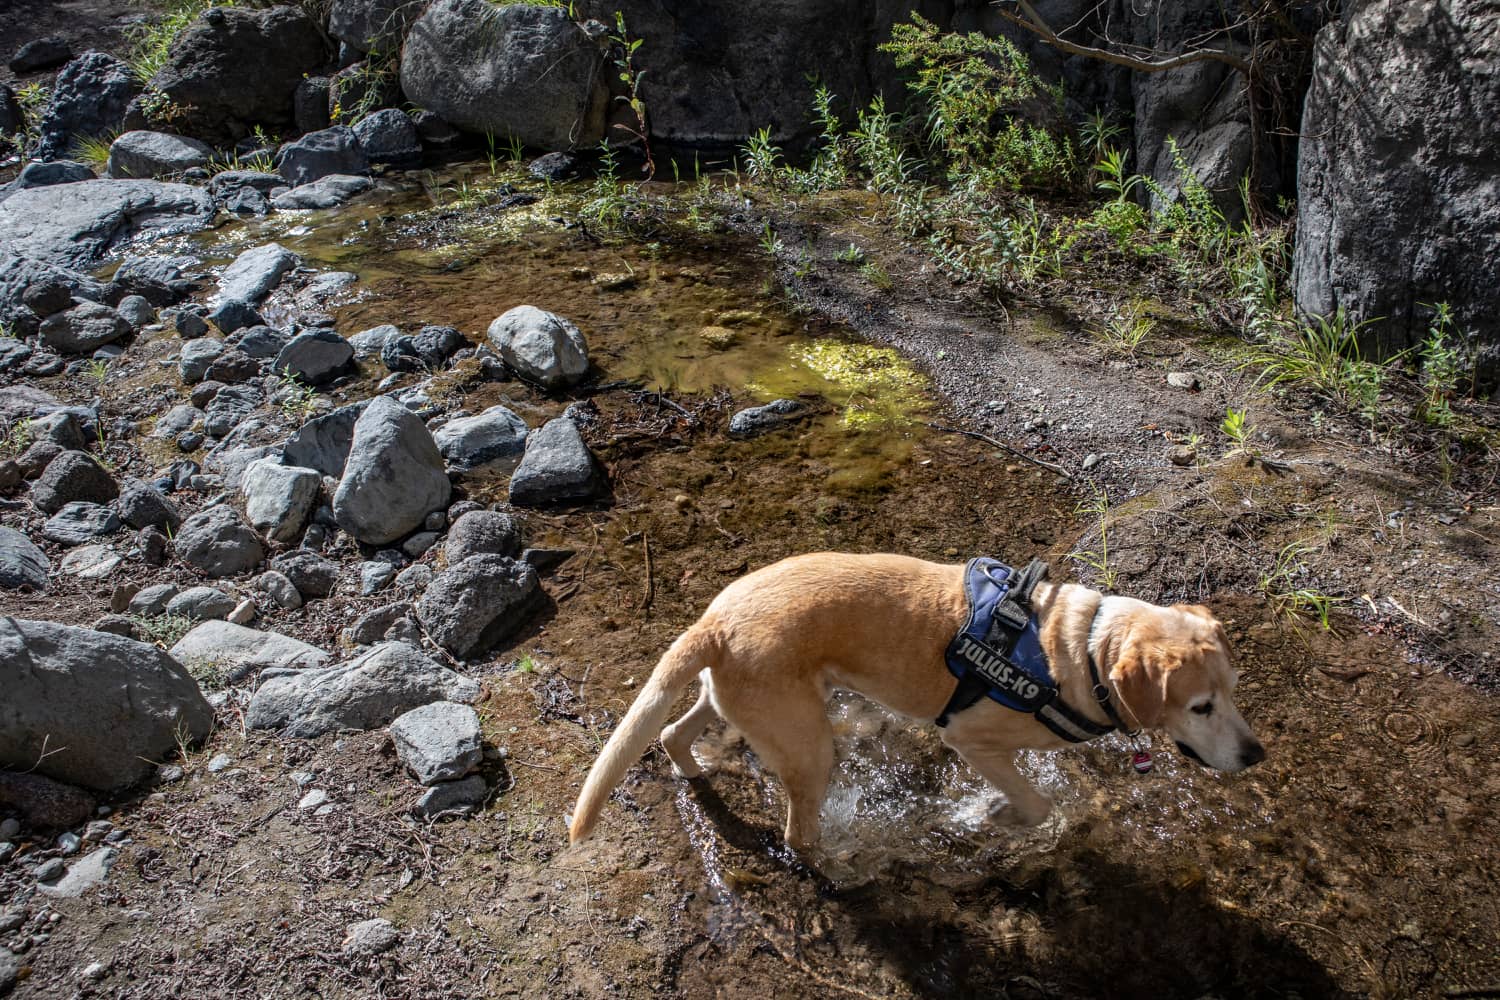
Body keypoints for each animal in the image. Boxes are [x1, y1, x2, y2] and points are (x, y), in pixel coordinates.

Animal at [567, 551, 1260, 851]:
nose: (1255, 754)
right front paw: (998, 817)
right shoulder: (973, 741)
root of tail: (712, 620)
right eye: (1200, 707)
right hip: (809, 746)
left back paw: (695, 770)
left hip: (731, 697)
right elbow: (1037, 803)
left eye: (1232, 691)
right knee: (797, 834)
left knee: (670, 734)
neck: (1084, 650)